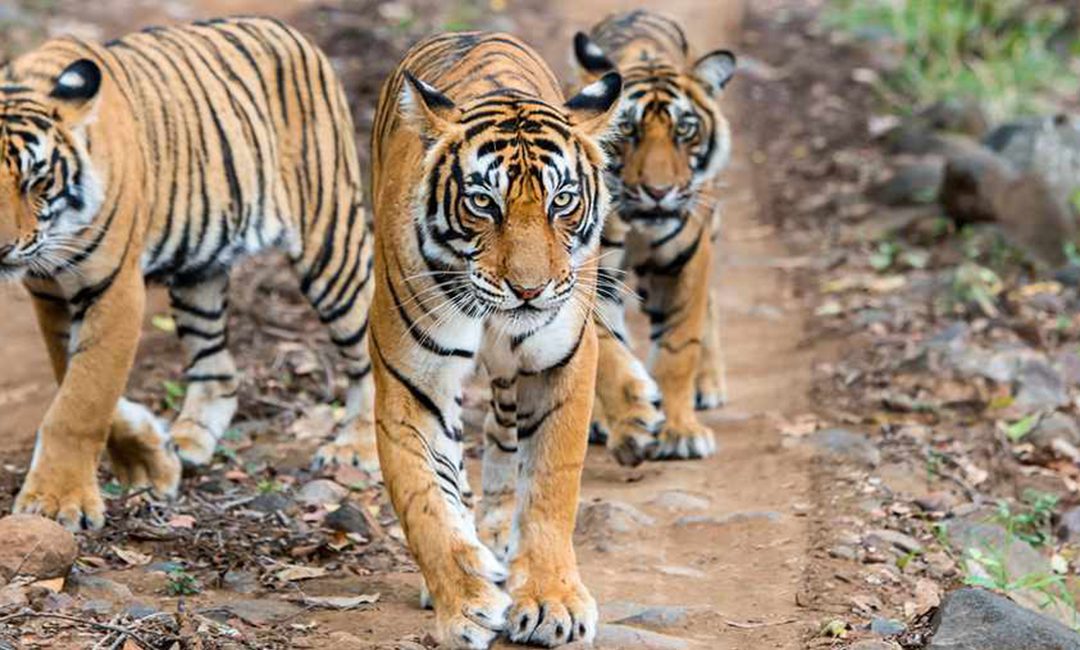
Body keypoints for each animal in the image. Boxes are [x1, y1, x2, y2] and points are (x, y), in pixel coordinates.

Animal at [0, 16, 376, 530]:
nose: (0, 248)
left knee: (371, 348)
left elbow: (83, 399)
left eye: (36, 182)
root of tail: (287, 30)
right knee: (218, 370)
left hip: (332, 243)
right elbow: (73, 377)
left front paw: (59, 503)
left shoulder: (113, 289)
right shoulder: (51, 295)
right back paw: (189, 442)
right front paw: (149, 459)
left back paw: (356, 448)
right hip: (199, 272)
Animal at [369, 31, 621, 649]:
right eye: (484, 202)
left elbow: (551, 486)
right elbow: (426, 500)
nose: (528, 290)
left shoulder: (562, 362)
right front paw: (464, 603)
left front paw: (552, 601)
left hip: (515, 372)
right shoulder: (411, 381)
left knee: (505, 435)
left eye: (562, 201)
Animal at [572, 10, 737, 465]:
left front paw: (681, 432)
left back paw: (708, 385)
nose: (659, 192)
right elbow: (607, 350)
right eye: (628, 130)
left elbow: (679, 347)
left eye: (684, 130)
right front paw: (631, 423)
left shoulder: (687, 259)